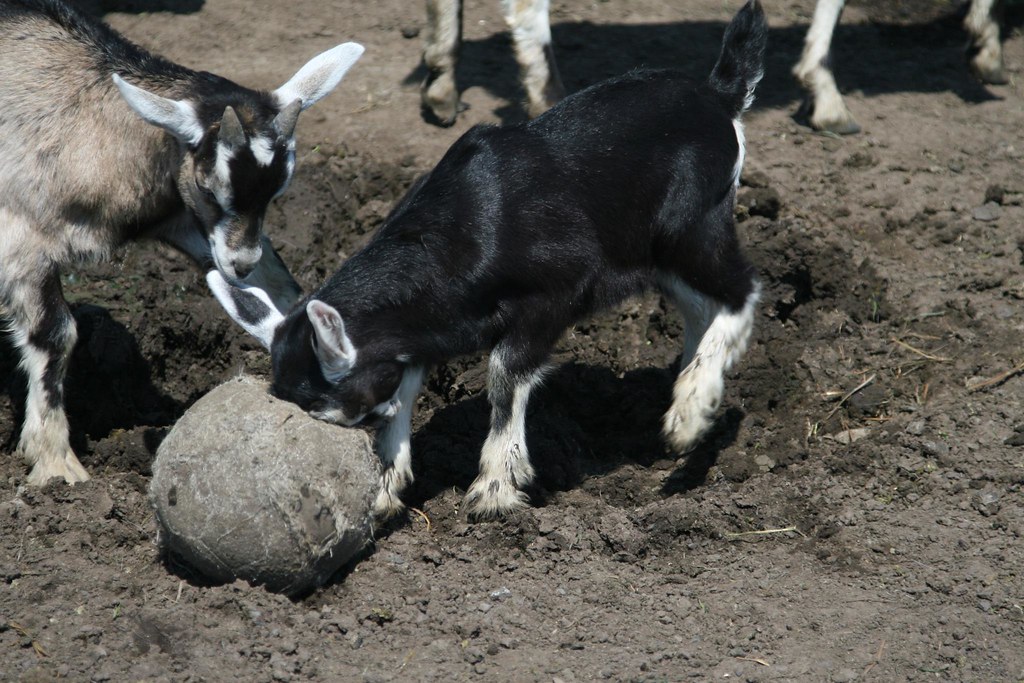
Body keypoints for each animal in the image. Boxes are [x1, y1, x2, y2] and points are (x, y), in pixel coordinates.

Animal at [0, 0, 363, 485]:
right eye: (211, 188)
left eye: (278, 192)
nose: (241, 265)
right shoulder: (22, 239)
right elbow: (56, 333)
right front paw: (56, 463)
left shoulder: (189, 223)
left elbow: (278, 285)